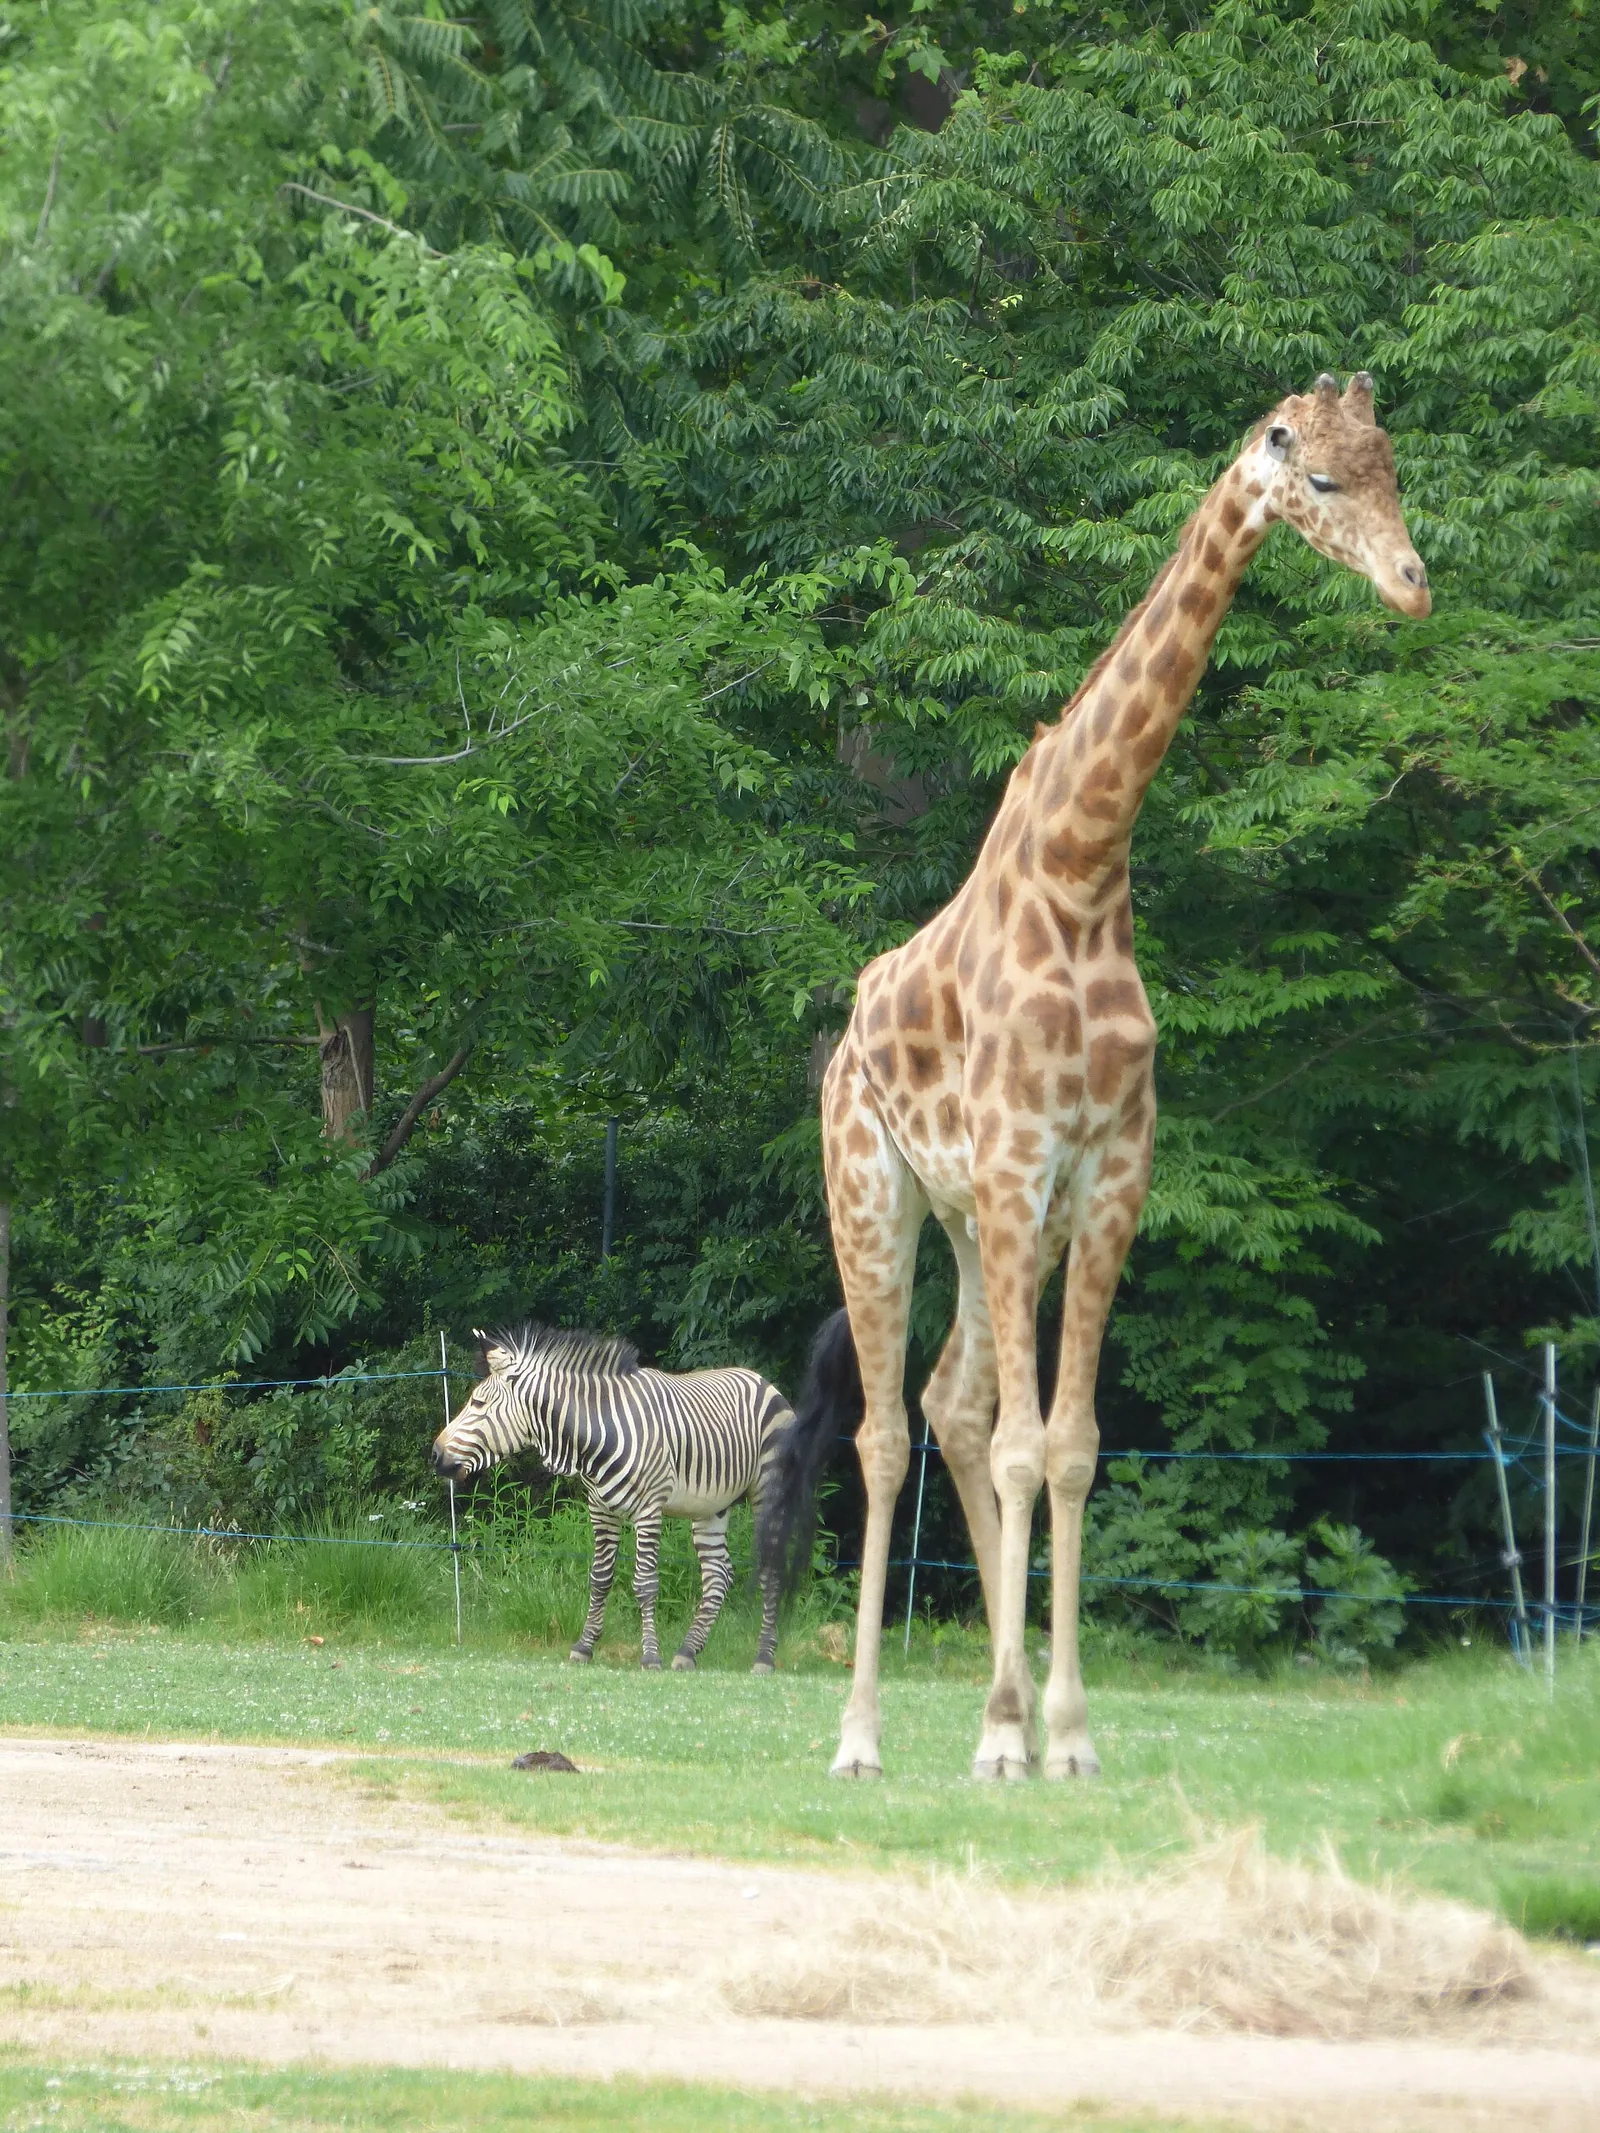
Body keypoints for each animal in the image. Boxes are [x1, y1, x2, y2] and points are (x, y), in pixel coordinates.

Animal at [431, 1322, 791, 1672]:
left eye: (478, 1404)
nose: (434, 1454)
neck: (595, 1434)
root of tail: (759, 1379)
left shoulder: (649, 1509)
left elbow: (645, 1583)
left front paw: (650, 1656)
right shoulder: (600, 1509)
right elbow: (600, 1578)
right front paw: (584, 1647)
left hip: (767, 1489)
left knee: (770, 1570)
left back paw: (763, 1658)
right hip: (710, 1506)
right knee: (718, 1574)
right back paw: (688, 1652)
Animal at [819, 373, 1430, 1781]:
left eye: (1391, 467)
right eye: (1320, 479)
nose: (1413, 584)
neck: (1084, 862)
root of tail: (842, 1033)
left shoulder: (1105, 1178)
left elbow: (1072, 1447)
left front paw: (1064, 1735)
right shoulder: (1016, 1162)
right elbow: (1029, 1446)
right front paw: (1005, 1738)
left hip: (973, 1219)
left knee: (955, 1403)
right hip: (874, 1192)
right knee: (883, 1431)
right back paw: (861, 1738)